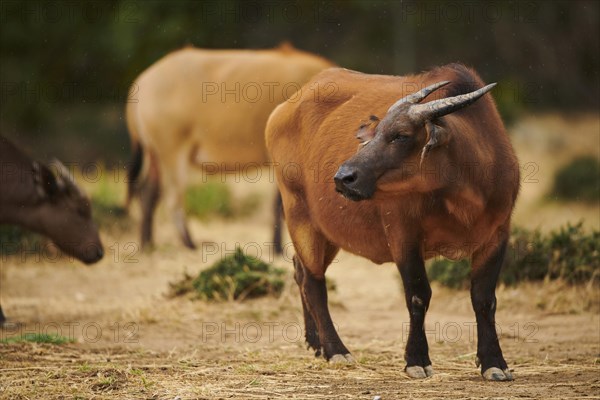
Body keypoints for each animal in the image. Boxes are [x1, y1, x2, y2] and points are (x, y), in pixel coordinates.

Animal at [125, 43, 332, 250]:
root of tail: (144, 81)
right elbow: (281, 206)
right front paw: (277, 248)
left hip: (155, 157)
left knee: (147, 194)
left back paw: (148, 243)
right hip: (173, 157)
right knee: (172, 200)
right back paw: (189, 243)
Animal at [268, 63, 520, 382]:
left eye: (401, 135)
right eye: (375, 133)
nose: (344, 177)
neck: (463, 197)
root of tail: (282, 110)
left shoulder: (497, 235)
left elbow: (484, 299)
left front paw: (494, 362)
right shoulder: (404, 236)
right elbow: (418, 295)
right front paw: (416, 359)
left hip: (327, 233)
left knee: (300, 272)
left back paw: (316, 344)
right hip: (301, 219)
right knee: (313, 282)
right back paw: (336, 349)